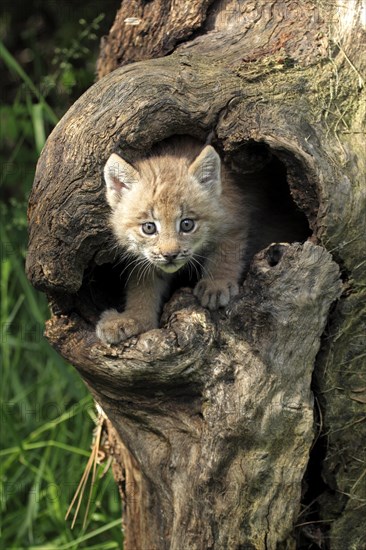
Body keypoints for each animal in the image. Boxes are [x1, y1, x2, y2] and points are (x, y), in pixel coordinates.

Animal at [96, 139, 249, 344]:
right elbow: (143, 286)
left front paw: (216, 284)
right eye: (149, 228)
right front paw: (134, 318)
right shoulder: (146, 260)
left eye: (187, 224)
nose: (170, 255)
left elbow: (226, 252)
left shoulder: (234, 221)